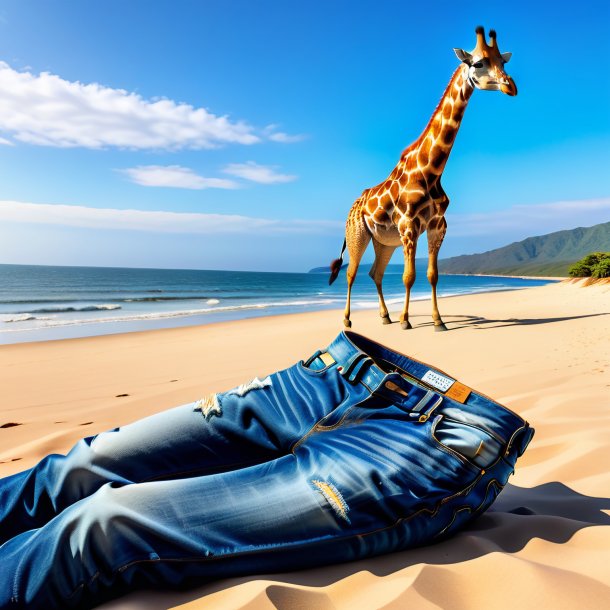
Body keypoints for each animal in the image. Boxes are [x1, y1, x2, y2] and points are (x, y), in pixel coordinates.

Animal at [328, 25, 512, 328]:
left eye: (504, 62)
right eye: (478, 63)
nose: (511, 86)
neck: (432, 171)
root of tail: (353, 205)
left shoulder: (438, 225)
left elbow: (431, 276)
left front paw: (438, 321)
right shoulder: (409, 226)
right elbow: (408, 277)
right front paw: (406, 320)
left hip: (384, 241)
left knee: (375, 273)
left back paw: (385, 316)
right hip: (357, 233)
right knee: (351, 273)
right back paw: (347, 320)